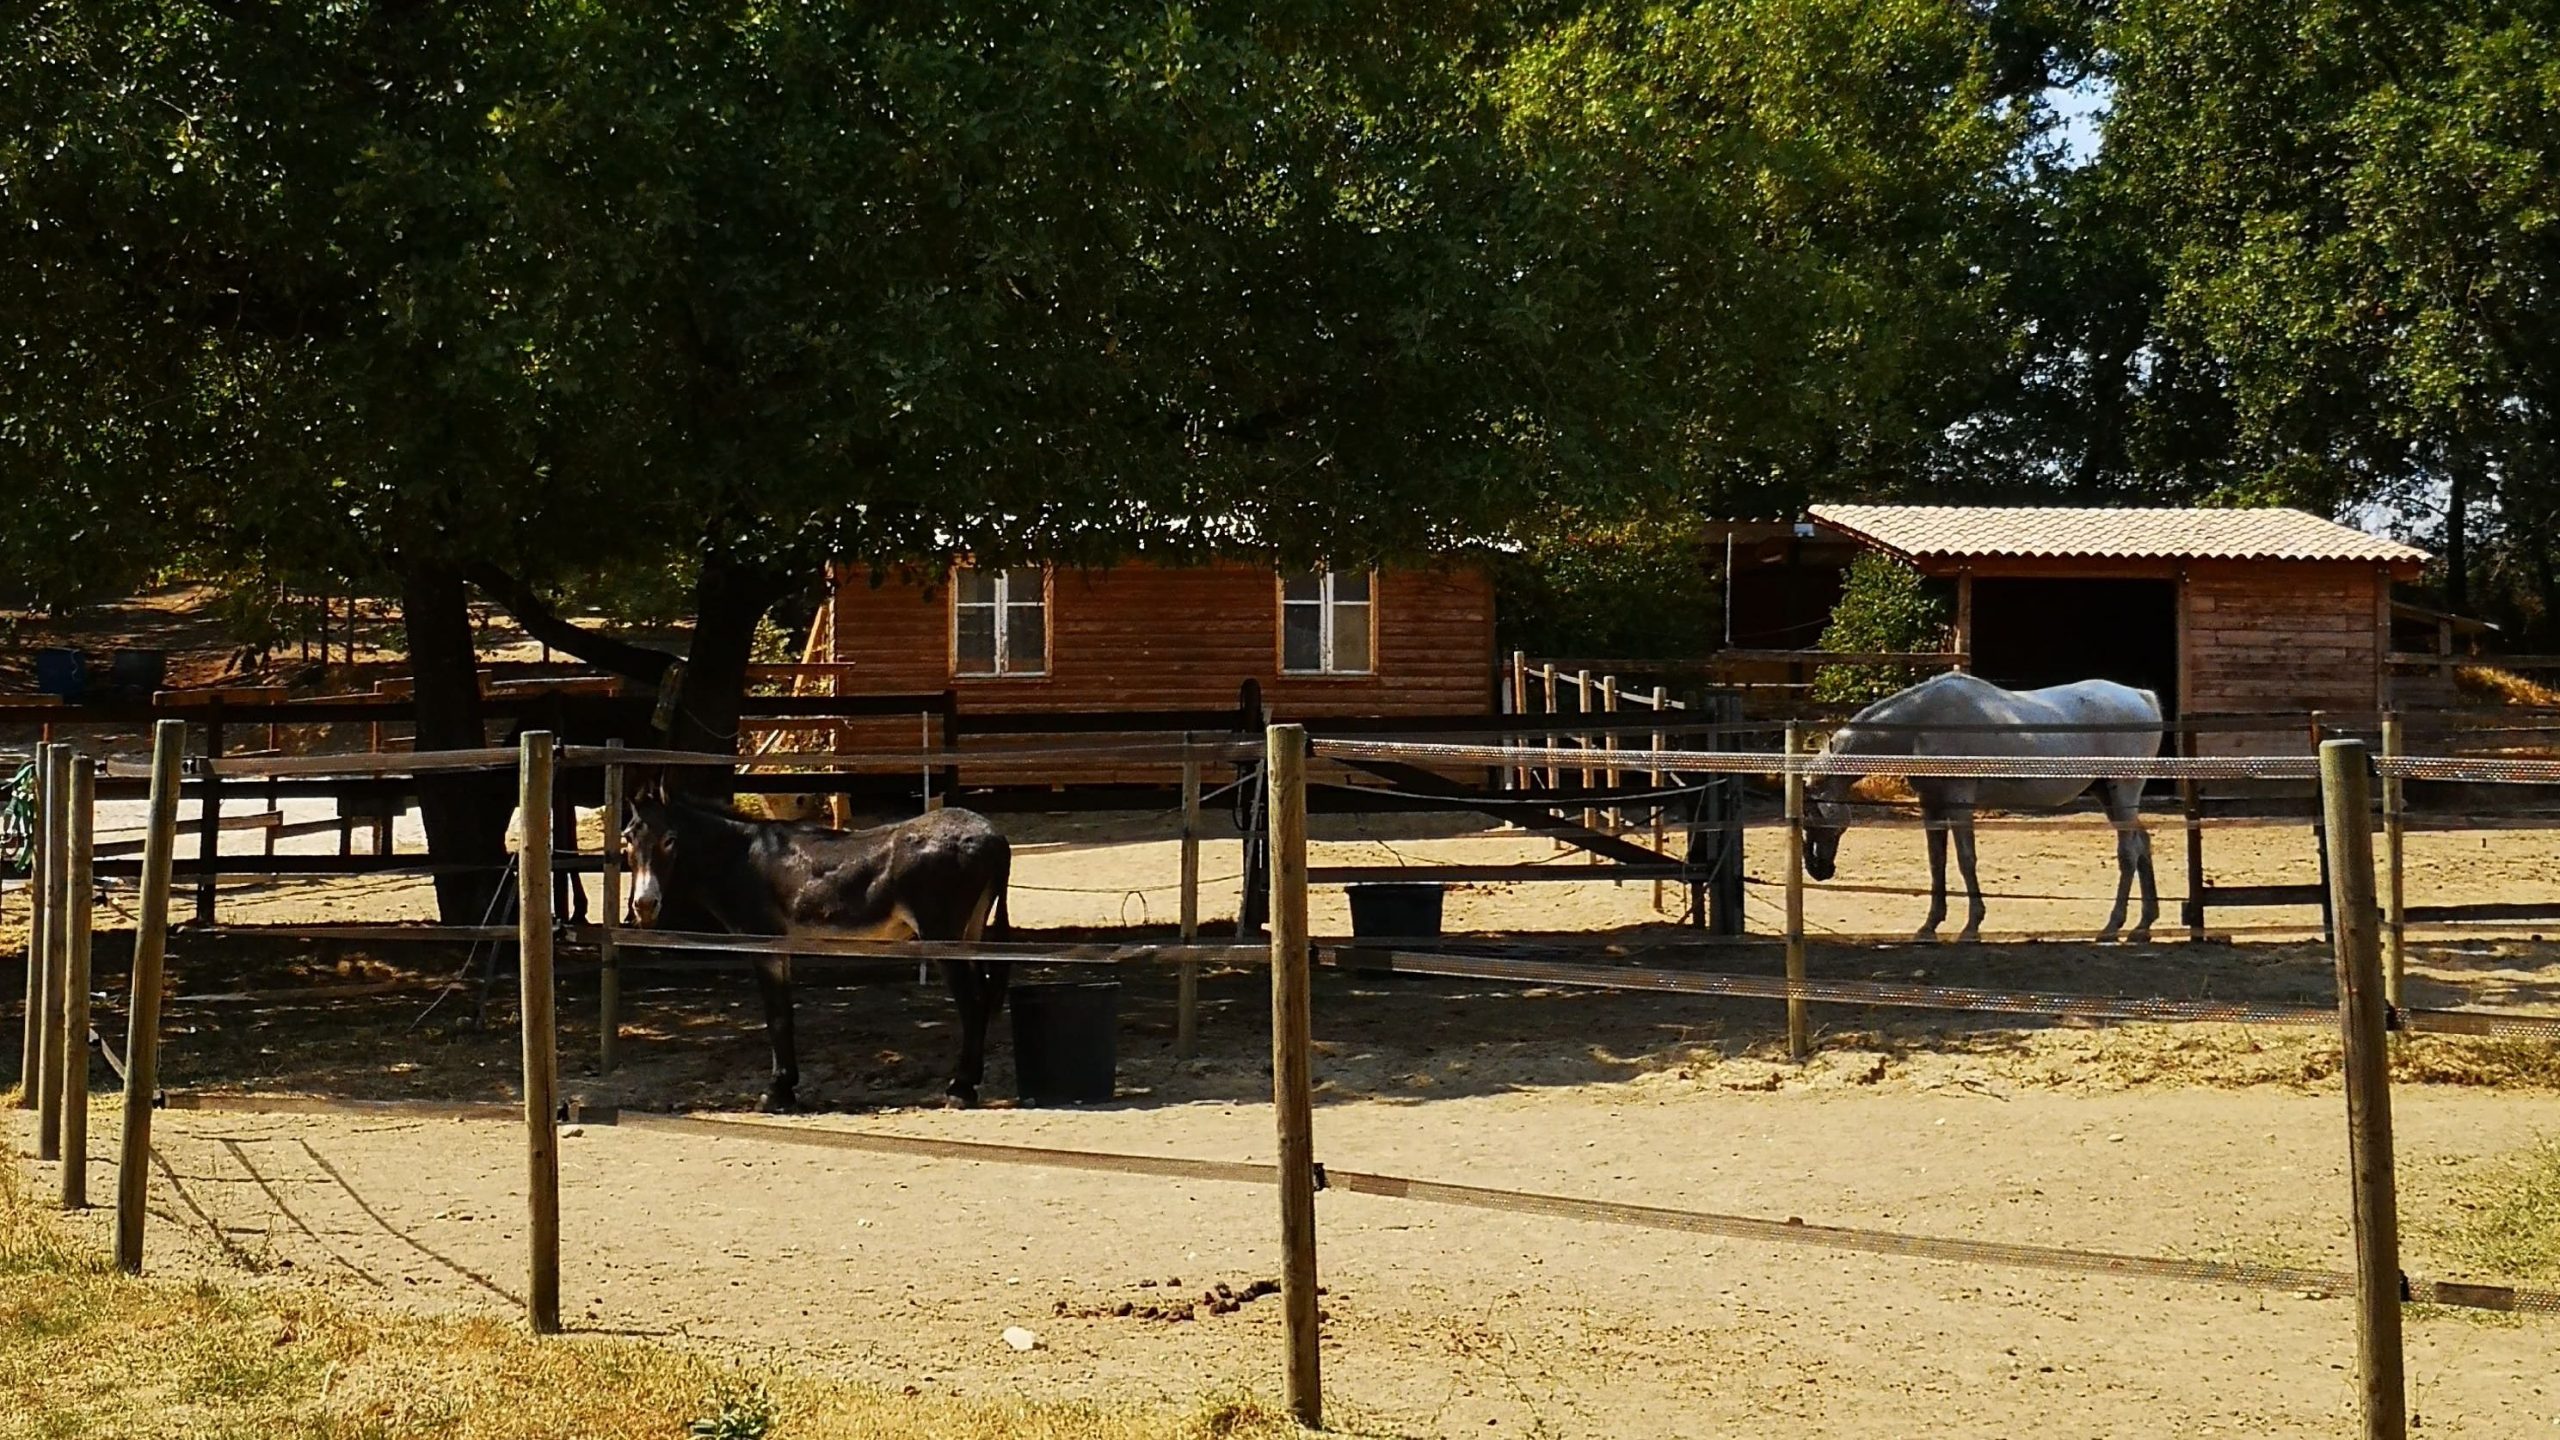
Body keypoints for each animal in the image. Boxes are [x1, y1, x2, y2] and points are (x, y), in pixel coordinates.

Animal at [1802, 671, 2160, 942]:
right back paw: (2142, 926)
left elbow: (1965, 859)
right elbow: (1937, 862)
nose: (1819, 870)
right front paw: (1929, 927)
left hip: (2123, 792)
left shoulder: (1959, 801)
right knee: (2142, 843)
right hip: (2107, 795)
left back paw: (2112, 926)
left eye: (1811, 813)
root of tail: (2143, 697)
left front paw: (1971, 927)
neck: (1924, 723)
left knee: (2128, 852)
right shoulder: (1931, 805)